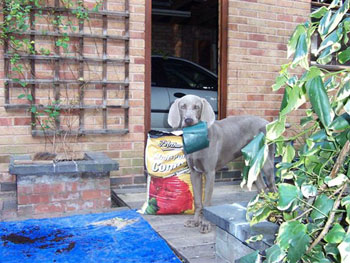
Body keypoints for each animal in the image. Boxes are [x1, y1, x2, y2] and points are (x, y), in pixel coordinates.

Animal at [168, 94, 278, 233]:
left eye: (196, 107)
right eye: (182, 106)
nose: (188, 120)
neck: (197, 136)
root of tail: (267, 123)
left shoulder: (210, 173)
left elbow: (207, 202)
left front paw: (205, 224)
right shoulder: (194, 173)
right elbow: (198, 201)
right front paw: (195, 221)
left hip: (266, 163)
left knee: (273, 187)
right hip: (252, 164)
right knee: (262, 187)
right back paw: (259, 210)